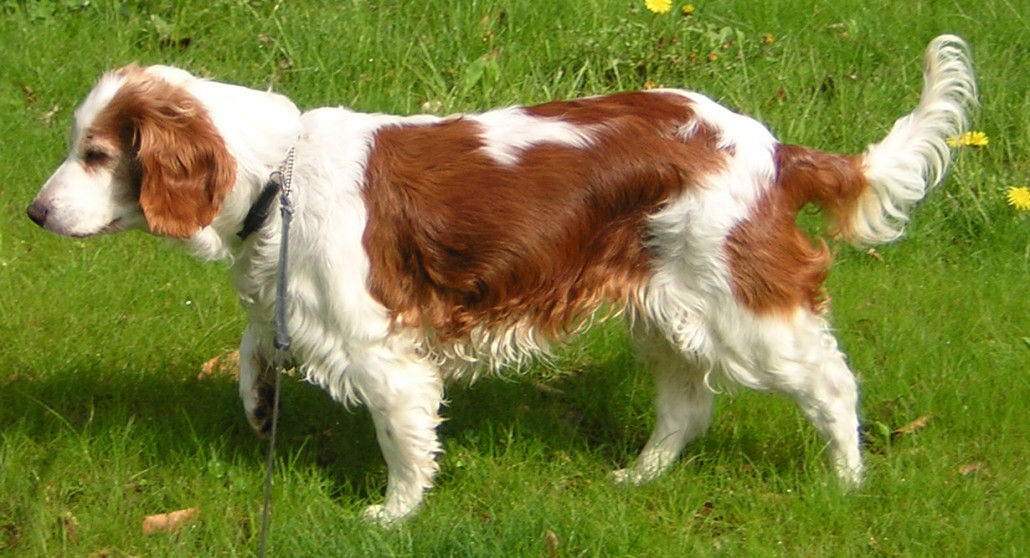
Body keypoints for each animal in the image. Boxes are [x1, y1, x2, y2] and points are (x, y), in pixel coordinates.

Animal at [24, 35, 972, 525]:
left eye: (96, 154)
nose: (32, 212)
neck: (278, 173)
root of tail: (775, 148)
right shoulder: (296, 298)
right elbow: (255, 343)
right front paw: (259, 403)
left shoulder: (382, 351)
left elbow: (403, 443)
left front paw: (391, 518)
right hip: (662, 309)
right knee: (687, 406)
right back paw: (640, 477)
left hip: (742, 309)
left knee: (831, 385)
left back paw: (847, 484)